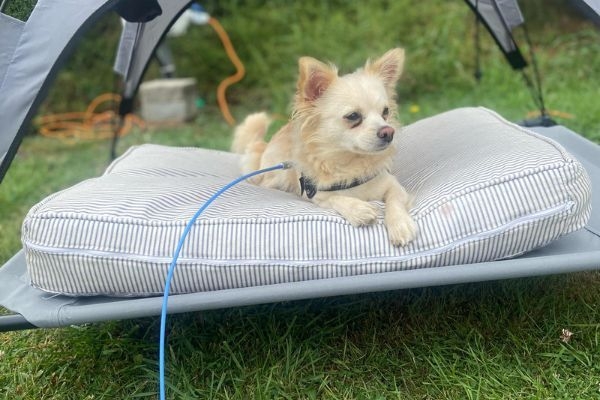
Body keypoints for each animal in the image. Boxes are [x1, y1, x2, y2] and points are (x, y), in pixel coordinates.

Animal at [231, 48, 418, 245]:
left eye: (385, 112)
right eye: (353, 116)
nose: (388, 132)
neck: (352, 163)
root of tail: (265, 145)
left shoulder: (394, 185)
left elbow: (394, 201)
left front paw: (400, 225)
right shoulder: (313, 195)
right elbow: (336, 197)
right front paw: (358, 209)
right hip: (277, 176)